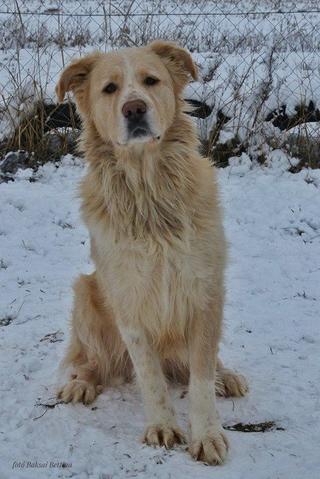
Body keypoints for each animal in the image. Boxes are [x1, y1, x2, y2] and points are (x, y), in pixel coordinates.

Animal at [56, 39, 249, 466]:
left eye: (151, 81)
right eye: (110, 89)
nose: (134, 108)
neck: (148, 191)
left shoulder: (206, 291)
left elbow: (200, 378)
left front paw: (207, 434)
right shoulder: (129, 301)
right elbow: (150, 376)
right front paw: (162, 426)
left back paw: (227, 376)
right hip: (84, 292)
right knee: (91, 360)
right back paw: (80, 383)